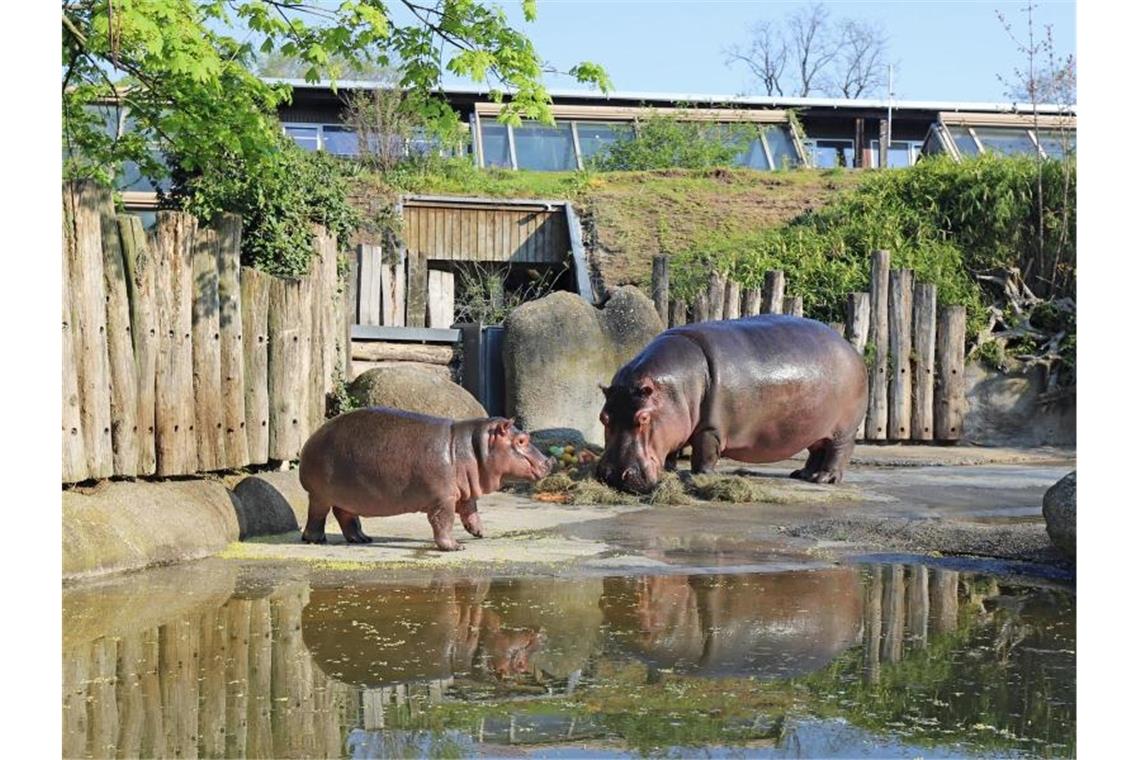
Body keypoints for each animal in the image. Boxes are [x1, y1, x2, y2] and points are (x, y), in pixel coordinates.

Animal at [298, 410, 551, 553]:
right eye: (521, 440)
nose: (549, 462)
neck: (472, 448)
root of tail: (312, 437)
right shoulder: (443, 499)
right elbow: (444, 522)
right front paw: (455, 547)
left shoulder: (463, 491)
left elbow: (471, 511)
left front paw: (480, 532)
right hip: (320, 495)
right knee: (317, 515)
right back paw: (316, 540)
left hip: (348, 497)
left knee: (345, 515)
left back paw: (362, 539)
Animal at [597, 314, 861, 494]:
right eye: (603, 418)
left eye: (643, 418)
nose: (614, 476)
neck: (675, 389)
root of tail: (850, 348)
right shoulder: (673, 424)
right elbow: (671, 450)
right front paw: (670, 470)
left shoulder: (709, 428)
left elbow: (704, 453)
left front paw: (700, 477)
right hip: (815, 428)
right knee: (817, 450)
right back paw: (803, 474)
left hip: (844, 429)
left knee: (838, 451)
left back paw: (823, 478)